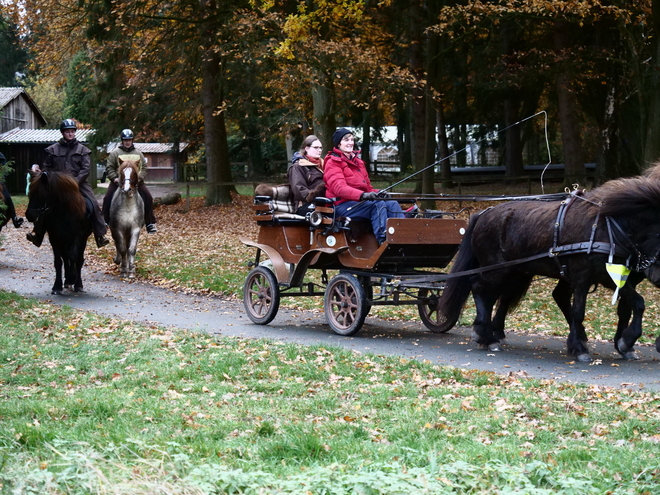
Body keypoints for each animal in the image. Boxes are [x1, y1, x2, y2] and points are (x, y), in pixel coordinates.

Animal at [438, 176, 660, 362]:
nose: (657, 277)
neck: (607, 226)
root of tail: (485, 213)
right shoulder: (584, 277)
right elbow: (579, 312)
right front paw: (580, 349)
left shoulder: (611, 276)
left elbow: (637, 303)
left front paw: (625, 343)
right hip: (497, 269)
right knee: (478, 288)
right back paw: (486, 336)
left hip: (512, 272)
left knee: (494, 296)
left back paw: (487, 334)